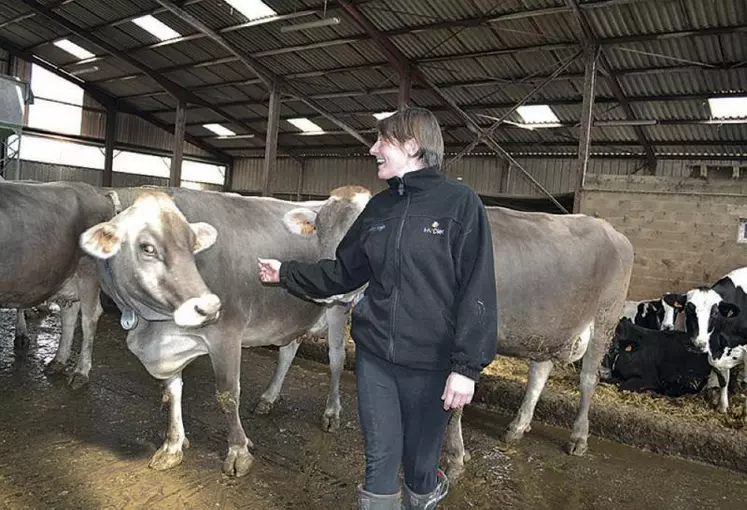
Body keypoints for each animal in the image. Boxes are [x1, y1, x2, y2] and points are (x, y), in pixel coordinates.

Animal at [0, 179, 117, 386]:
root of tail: (97, 191)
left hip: (88, 270)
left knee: (89, 318)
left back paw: (80, 372)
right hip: (66, 276)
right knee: (69, 314)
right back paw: (58, 361)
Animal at [80, 185, 370, 476]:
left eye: (191, 246)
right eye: (147, 248)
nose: (209, 306)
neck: (152, 326)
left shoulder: (226, 332)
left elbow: (228, 394)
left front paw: (238, 452)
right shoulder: (166, 345)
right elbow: (172, 391)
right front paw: (172, 446)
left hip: (336, 309)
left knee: (336, 358)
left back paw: (331, 411)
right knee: (289, 350)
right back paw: (268, 398)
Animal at [442, 205, 636, 480]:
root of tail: (611, 230)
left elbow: (454, 403)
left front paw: (455, 459)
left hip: (605, 318)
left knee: (588, 379)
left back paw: (578, 438)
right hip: (551, 329)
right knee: (539, 372)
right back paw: (517, 427)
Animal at [664, 268, 747, 412]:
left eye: (715, 313)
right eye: (688, 310)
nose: (698, 345)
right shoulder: (715, 355)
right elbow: (723, 380)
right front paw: (722, 406)